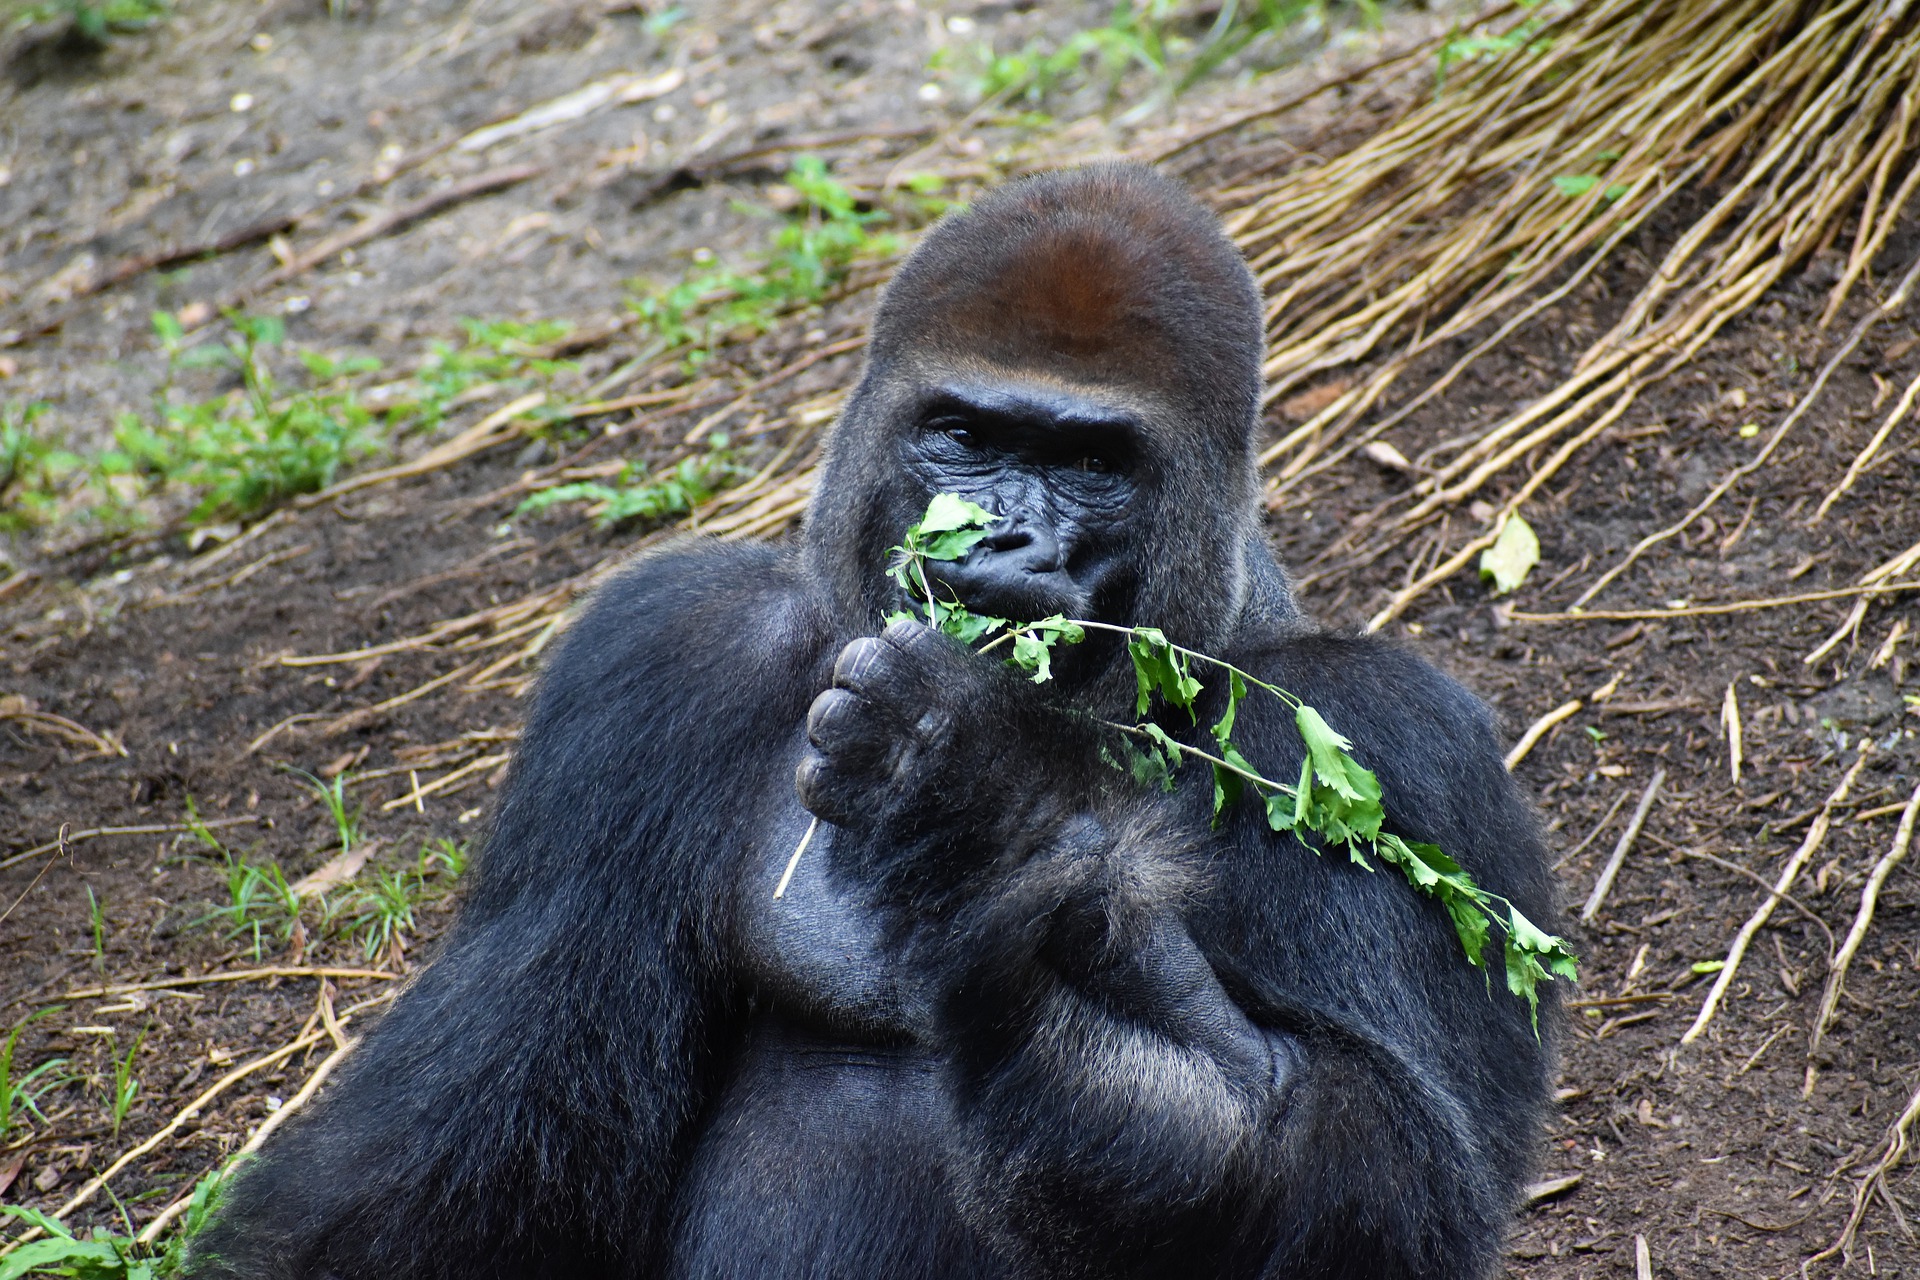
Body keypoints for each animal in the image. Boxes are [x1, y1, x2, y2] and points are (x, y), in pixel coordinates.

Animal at [183, 165, 1559, 1280]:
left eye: (1093, 464)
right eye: (961, 433)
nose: (1001, 542)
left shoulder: (1395, 741)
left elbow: (1380, 1168)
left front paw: (988, 822)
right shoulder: (654, 661)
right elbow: (473, 1142)